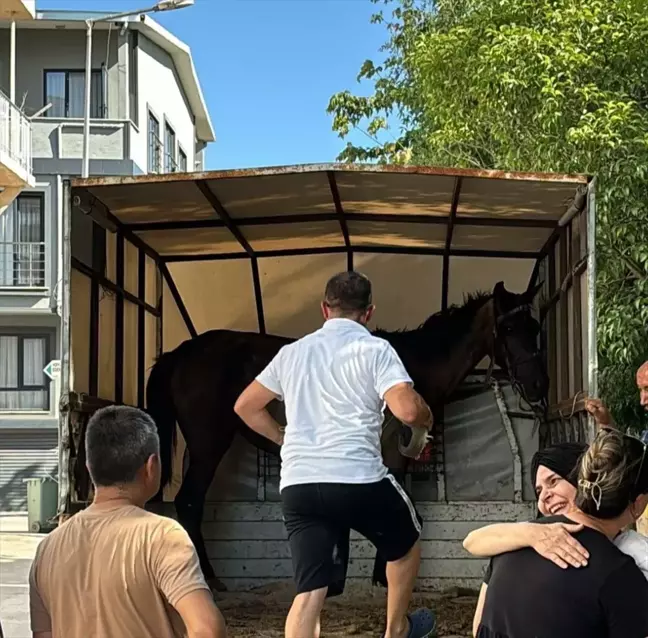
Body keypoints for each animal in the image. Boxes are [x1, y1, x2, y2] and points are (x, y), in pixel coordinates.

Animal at [146, 282, 548, 592]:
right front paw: (383, 577)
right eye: (508, 329)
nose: (538, 384)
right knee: (189, 503)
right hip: (208, 445)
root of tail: (182, 352)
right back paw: (210, 579)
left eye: (535, 326)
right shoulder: (391, 457)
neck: (413, 366)